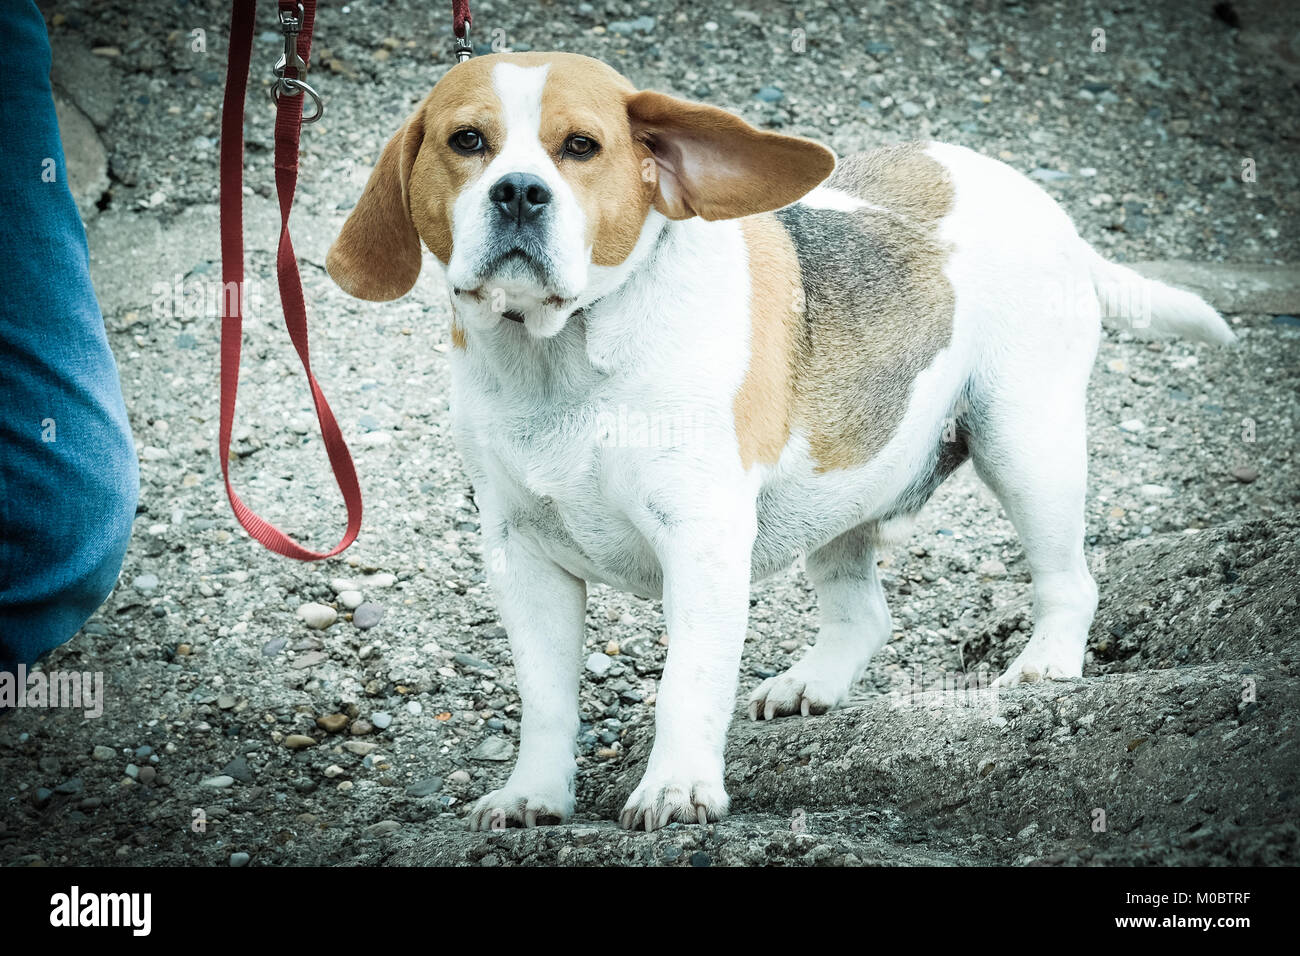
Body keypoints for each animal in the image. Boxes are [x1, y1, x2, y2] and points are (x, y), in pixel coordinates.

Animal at [327, 50, 1237, 832]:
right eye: (466, 142)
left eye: (580, 147)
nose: (518, 192)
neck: (564, 355)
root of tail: (1037, 200)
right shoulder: (524, 557)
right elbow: (548, 699)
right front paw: (532, 797)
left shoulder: (700, 543)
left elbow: (686, 684)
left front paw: (677, 788)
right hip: (843, 488)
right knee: (865, 612)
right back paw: (813, 683)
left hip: (1026, 445)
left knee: (1069, 581)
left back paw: (1048, 661)